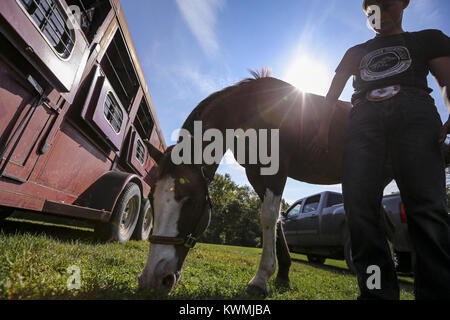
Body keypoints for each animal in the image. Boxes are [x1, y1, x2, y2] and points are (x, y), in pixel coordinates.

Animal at [139, 69, 448, 296]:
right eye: (151, 199)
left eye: (190, 199)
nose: (154, 279)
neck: (251, 110)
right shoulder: (257, 175)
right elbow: (274, 221)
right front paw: (282, 275)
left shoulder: (275, 172)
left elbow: (268, 217)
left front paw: (260, 280)